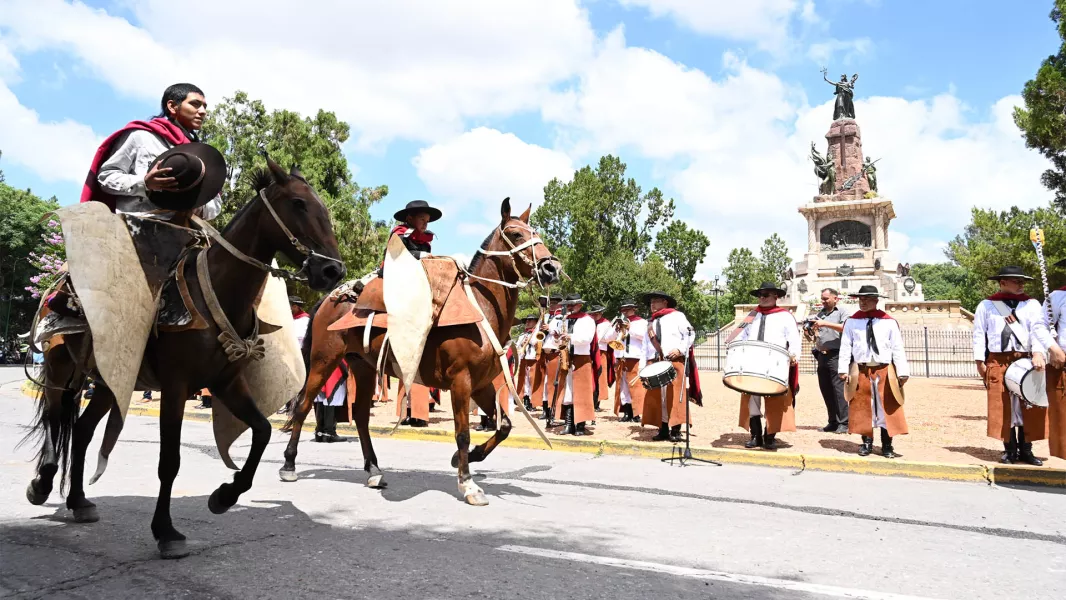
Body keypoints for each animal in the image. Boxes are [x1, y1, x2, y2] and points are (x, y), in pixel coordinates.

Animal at [23, 159, 345, 558]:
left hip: (112, 380)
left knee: (81, 431)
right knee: (54, 421)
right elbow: (170, 461)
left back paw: (79, 501)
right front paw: (165, 531)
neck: (218, 292)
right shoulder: (176, 387)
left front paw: (225, 495)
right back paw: (42, 484)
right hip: (58, 369)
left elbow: (262, 431)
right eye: (299, 204)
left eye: (323, 208)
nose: (333, 271)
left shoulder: (226, 383)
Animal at [279, 199, 562, 505]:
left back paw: (374, 471)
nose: (551, 268)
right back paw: (289, 465)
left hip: (362, 367)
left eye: (534, 232)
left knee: (361, 418)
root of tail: (330, 299)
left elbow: (505, 426)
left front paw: (469, 457)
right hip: (324, 361)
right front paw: (468, 484)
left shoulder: (481, 384)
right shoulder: (461, 382)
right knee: (303, 406)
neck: (480, 310)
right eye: (516, 234)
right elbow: (462, 433)